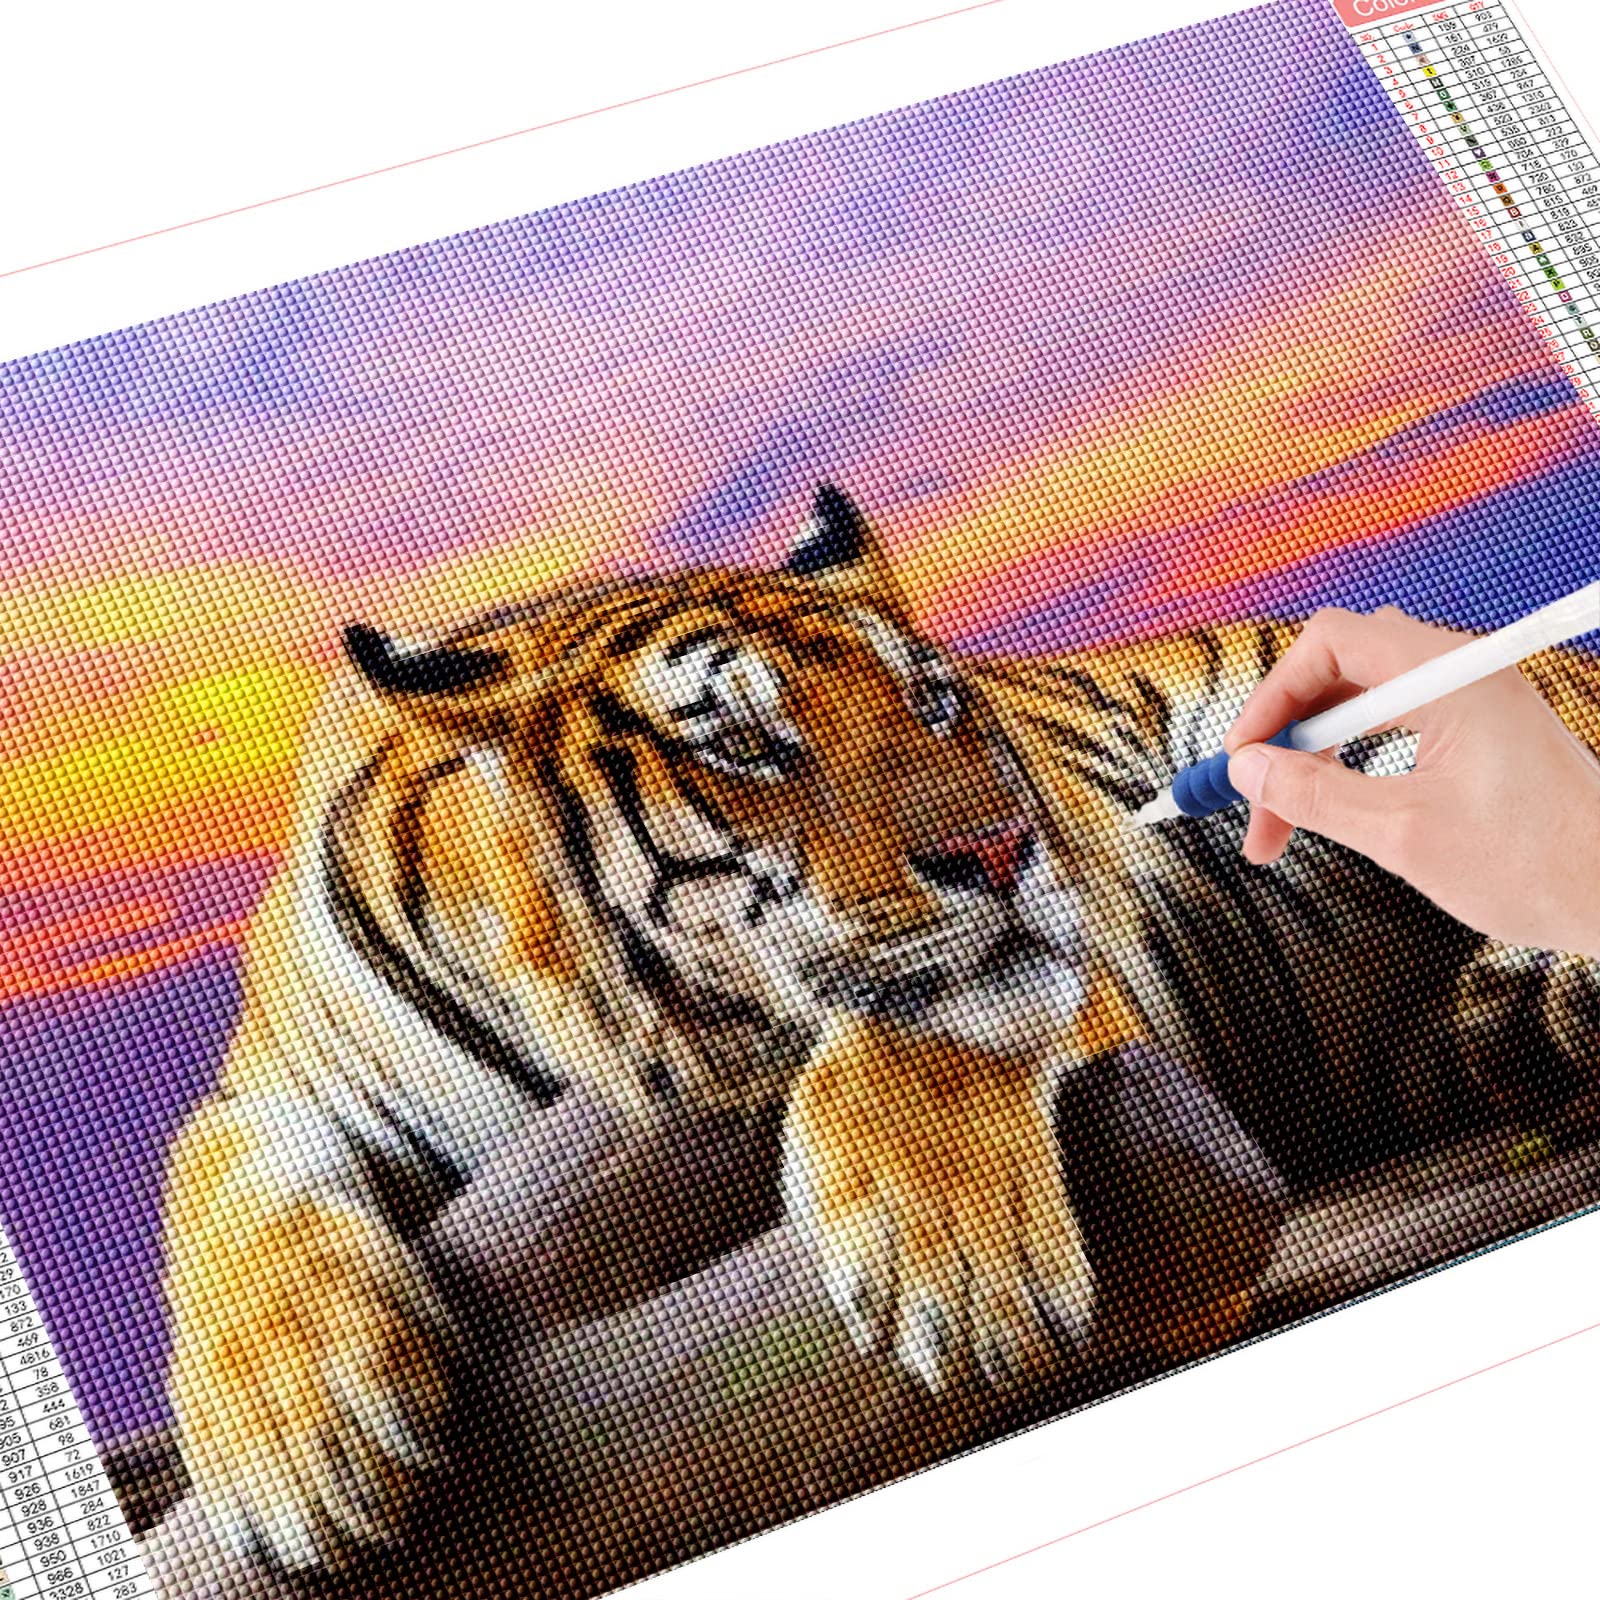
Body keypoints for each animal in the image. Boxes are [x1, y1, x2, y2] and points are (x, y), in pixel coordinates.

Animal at [157, 482, 1600, 1575]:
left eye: (935, 705)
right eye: (744, 748)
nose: (1006, 847)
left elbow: (933, 1028)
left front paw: (957, 1285)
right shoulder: (278, 1091)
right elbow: (223, 1214)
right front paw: (307, 1455)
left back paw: (1547, 994)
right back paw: (1513, 1026)